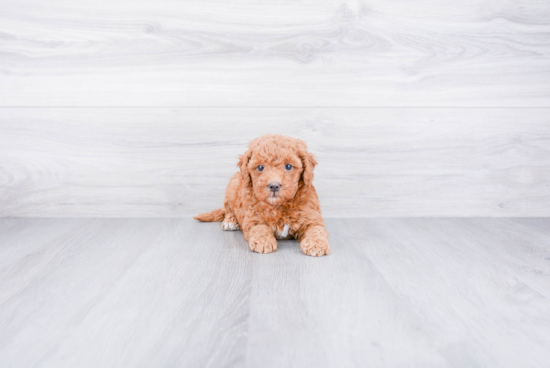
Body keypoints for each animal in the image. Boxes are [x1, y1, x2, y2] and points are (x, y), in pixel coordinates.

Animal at [195, 134, 332, 258]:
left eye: (288, 166)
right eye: (260, 167)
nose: (274, 186)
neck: (278, 206)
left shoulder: (311, 216)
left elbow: (316, 229)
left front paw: (316, 244)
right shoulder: (253, 218)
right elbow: (259, 228)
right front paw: (264, 242)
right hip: (232, 185)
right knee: (229, 210)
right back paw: (230, 221)